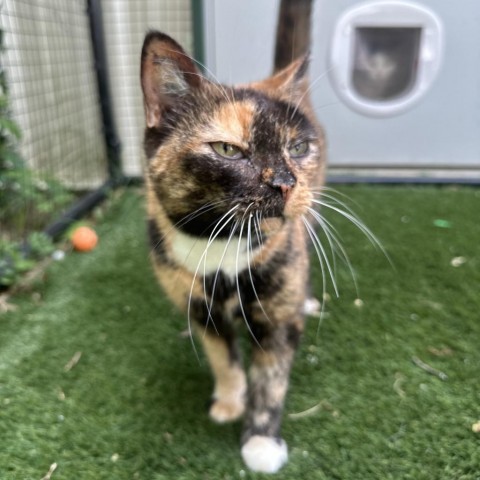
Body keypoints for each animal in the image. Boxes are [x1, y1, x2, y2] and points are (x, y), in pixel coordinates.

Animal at [140, 0, 326, 472]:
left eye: (298, 148)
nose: (284, 182)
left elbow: (271, 380)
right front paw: (228, 399)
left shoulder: (277, 317)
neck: (221, 246)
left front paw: (260, 441)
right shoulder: (198, 305)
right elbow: (221, 357)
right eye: (227, 149)